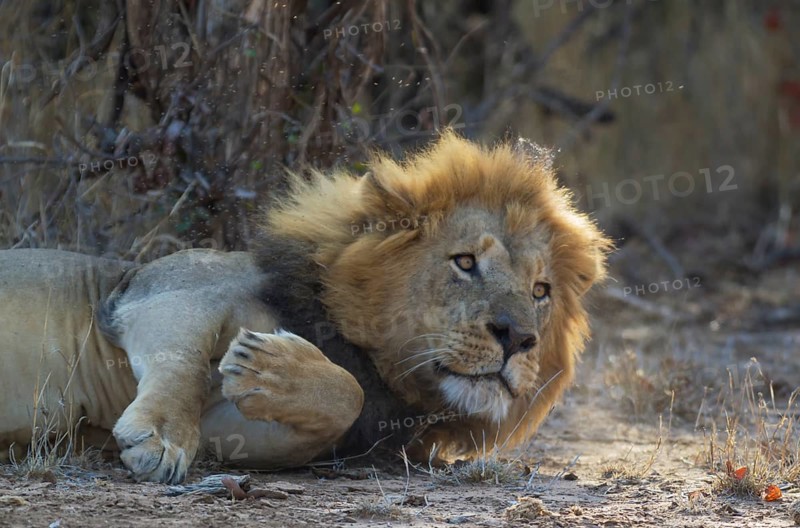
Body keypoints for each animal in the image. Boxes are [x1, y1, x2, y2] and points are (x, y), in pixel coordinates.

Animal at [0, 132, 610, 483]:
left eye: (540, 291)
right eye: (464, 263)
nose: (519, 338)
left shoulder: (237, 437)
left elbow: (343, 396)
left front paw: (266, 367)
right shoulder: (163, 291)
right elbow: (183, 359)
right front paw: (162, 436)